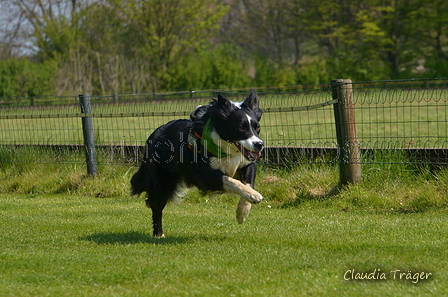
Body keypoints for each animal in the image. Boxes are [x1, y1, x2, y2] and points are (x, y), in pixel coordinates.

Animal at [130, 88, 262, 236]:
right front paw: (254, 196)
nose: (259, 144)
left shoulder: (247, 164)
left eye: (257, 128)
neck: (225, 147)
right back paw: (159, 234)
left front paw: (242, 212)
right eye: (241, 128)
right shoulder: (205, 176)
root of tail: (153, 135)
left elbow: (248, 183)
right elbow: (231, 181)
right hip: (159, 181)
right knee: (156, 205)